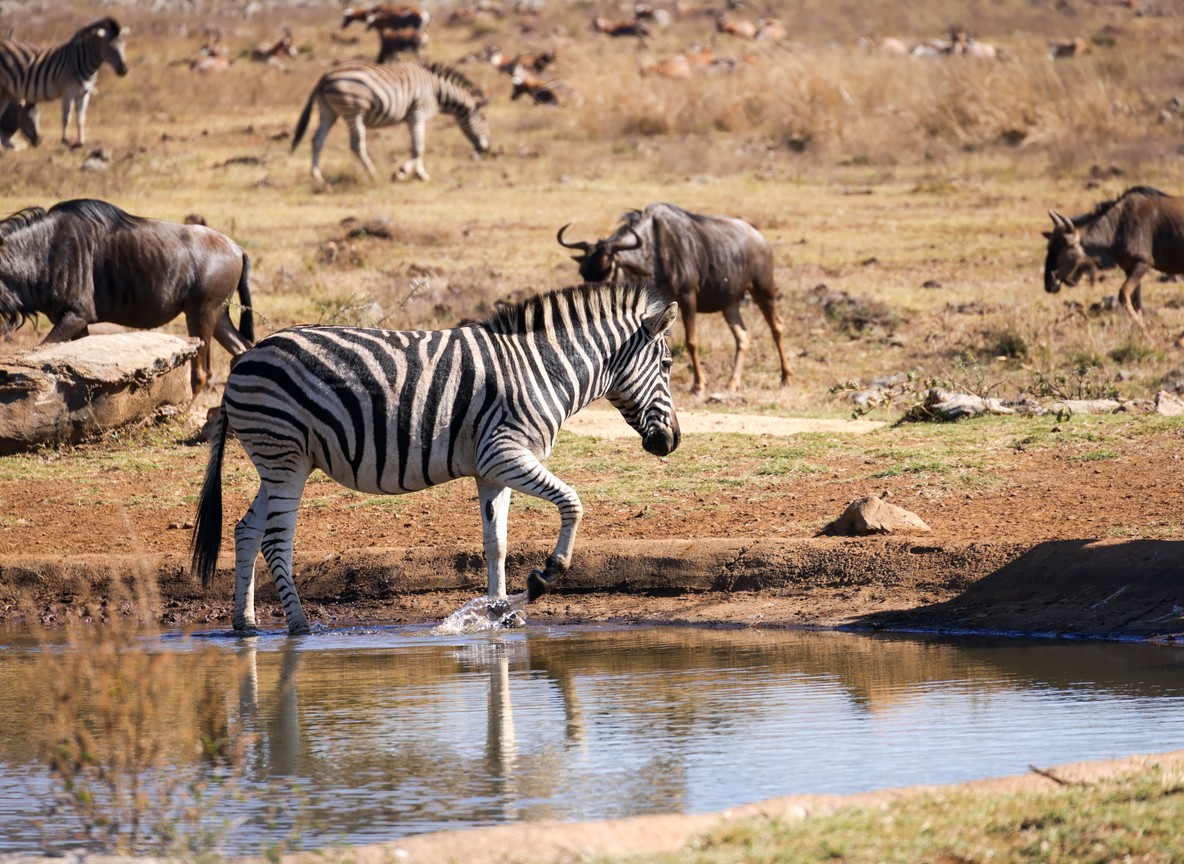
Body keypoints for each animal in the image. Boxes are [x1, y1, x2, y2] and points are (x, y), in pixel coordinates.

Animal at [0, 18, 129, 149]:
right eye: (110, 48)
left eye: (124, 46)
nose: (124, 70)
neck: (81, 62)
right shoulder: (68, 92)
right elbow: (67, 117)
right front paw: (64, 140)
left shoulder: (84, 94)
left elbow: (81, 118)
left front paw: (81, 142)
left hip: (5, 90)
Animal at [191, 281, 680, 635]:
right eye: (668, 365)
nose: (672, 442)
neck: (543, 370)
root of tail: (244, 360)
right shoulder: (504, 453)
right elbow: (573, 503)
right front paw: (544, 577)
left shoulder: (492, 471)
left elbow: (496, 544)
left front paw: (500, 613)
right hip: (284, 456)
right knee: (276, 541)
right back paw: (299, 627)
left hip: (278, 461)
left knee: (246, 529)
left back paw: (246, 624)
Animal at [290, 60, 489, 187]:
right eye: (484, 120)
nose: (485, 149)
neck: (437, 91)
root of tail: (324, 77)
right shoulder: (417, 114)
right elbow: (419, 147)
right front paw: (401, 173)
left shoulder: (412, 117)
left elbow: (417, 146)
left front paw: (420, 174)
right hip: (353, 112)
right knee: (356, 145)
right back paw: (372, 174)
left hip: (328, 112)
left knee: (317, 140)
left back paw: (317, 177)